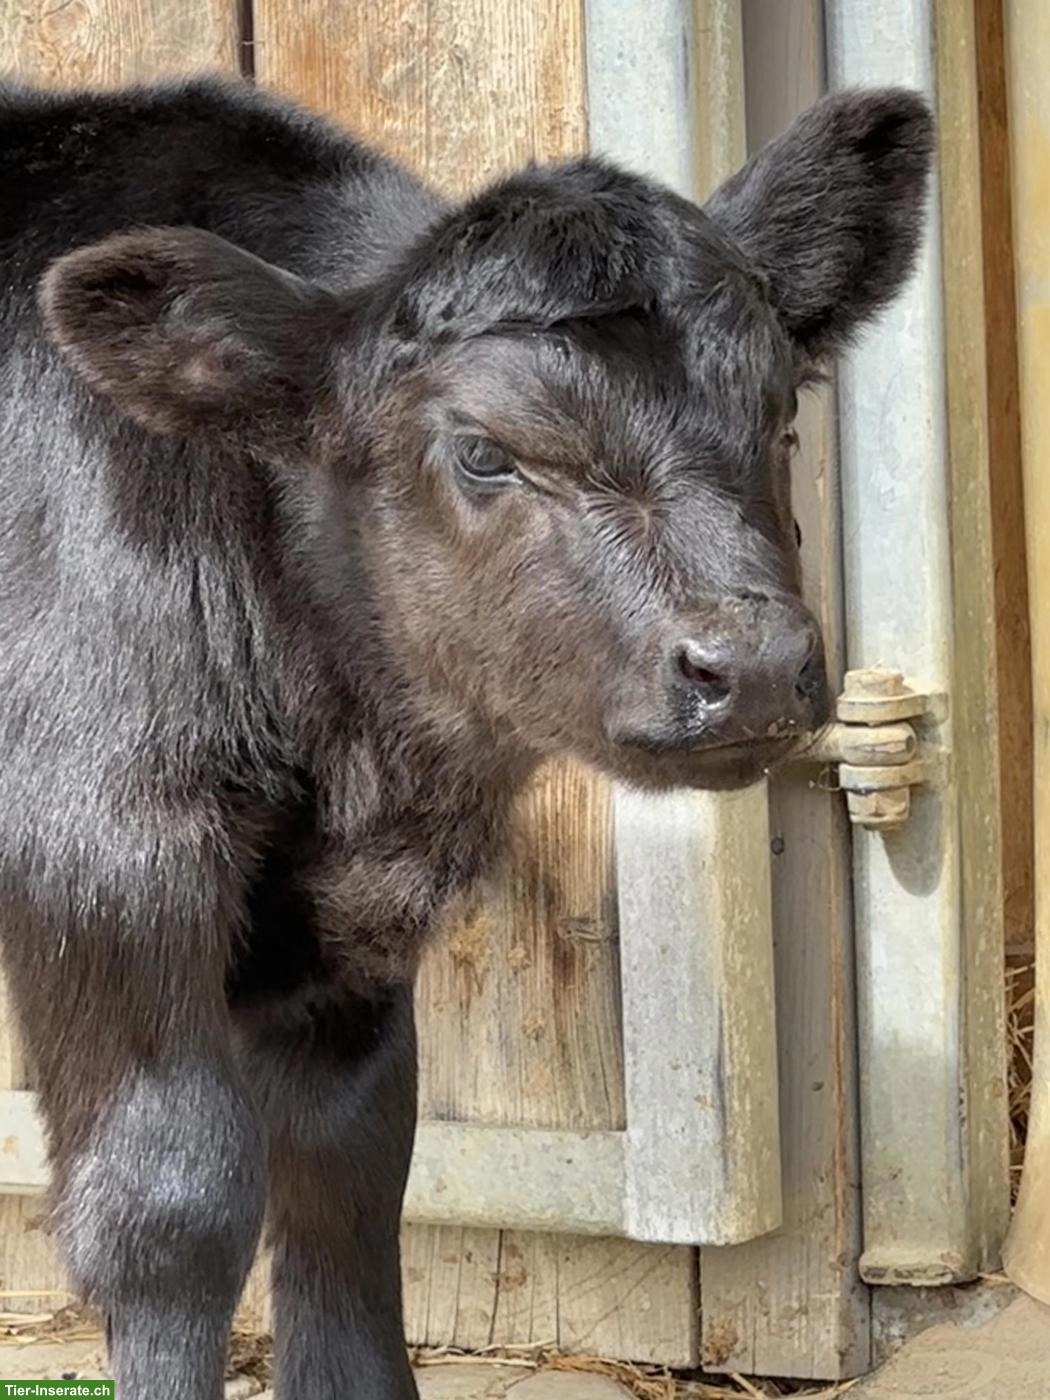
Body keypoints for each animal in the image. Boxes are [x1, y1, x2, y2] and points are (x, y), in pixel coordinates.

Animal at [0, 75, 931, 1399]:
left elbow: (348, 1179)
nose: (749, 666)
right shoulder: (100, 842)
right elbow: (168, 1203)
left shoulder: (339, 938)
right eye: (484, 451)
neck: (351, 767)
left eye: (779, 415)